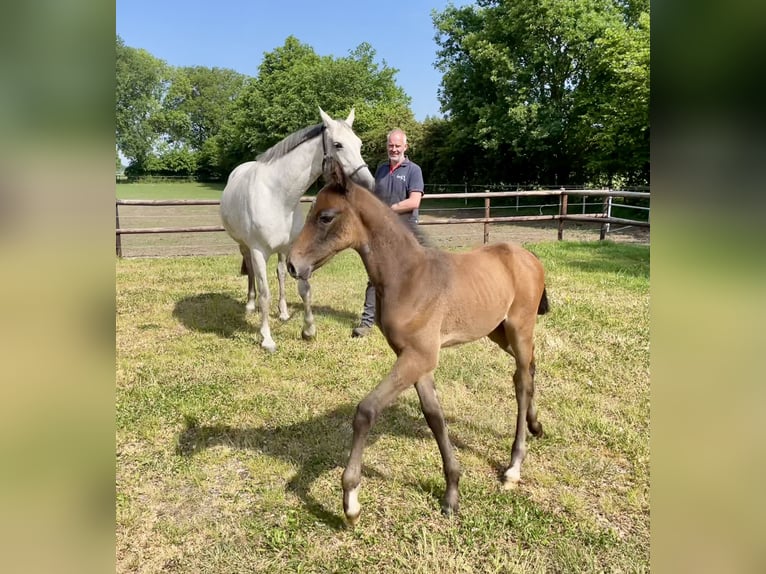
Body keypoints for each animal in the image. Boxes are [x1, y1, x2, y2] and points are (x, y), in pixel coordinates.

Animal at [219, 107, 376, 352]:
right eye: (338, 144)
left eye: (359, 144)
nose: (368, 185)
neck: (278, 195)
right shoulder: (258, 251)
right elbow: (265, 293)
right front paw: (267, 338)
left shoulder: (295, 249)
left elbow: (303, 288)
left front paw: (309, 330)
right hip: (244, 246)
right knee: (253, 274)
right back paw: (250, 305)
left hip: (282, 251)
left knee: (281, 274)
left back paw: (283, 312)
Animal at [284, 162, 548, 528]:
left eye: (325, 217)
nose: (292, 264)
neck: (408, 277)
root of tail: (529, 257)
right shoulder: (415, 359)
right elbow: (434, 416)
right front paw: (452, 491)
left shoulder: (419, 356)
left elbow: (366, 410)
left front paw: (351, 501)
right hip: (498, 332)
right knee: (529, 368)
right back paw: (536, 426)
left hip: (519, 328)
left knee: (522, 381)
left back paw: (513, 467)